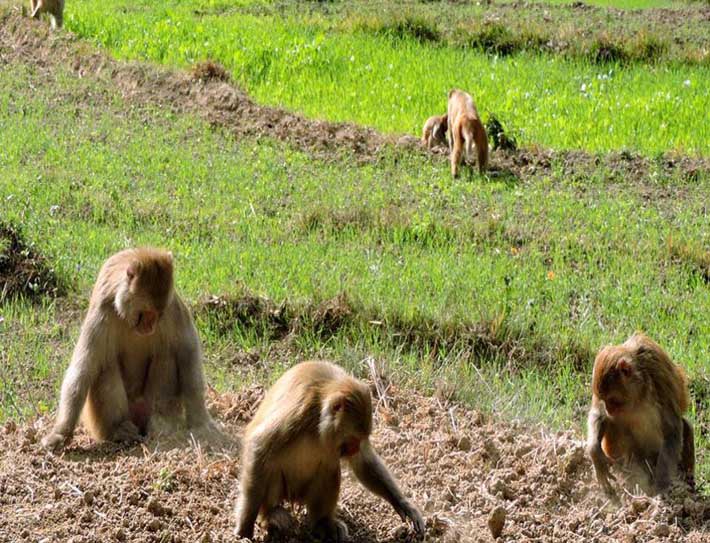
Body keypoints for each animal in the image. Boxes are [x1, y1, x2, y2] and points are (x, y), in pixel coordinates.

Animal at [41, 248, 221, 451]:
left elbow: (188, 353)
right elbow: (84, 369)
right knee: (105, 366)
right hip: (103, 421)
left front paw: (201, 421)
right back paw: (119, 429)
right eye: (146, 312)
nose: (151, 327)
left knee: (166, 355)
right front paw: (60, 434)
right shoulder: (103, 312)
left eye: (158, 314)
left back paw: (161, 422)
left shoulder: (173, 309)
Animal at [234, 361, 425, 542]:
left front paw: (403, 505)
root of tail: (294, 499)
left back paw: (322, 523)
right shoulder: (297, 413)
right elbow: (258, 448)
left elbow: (363, 462)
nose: (354, 448)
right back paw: (271, 515)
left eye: (360, 440)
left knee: (329, 467)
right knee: (270, 466)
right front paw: (245, 527)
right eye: (352, 439)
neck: (318, 420)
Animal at [586, 333, 695, 497]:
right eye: (603, 399)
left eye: (612, 400)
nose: (609, 410)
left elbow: (672, 430)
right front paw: (596, 455)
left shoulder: (659, 378)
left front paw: (661, 484)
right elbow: (598, 414)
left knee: (685, 427)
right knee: (614, 424)